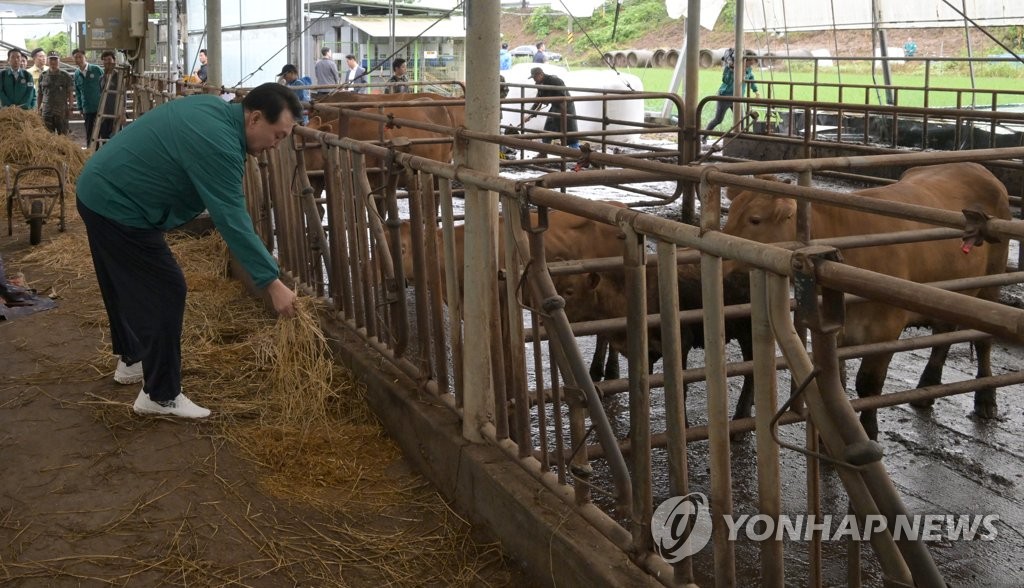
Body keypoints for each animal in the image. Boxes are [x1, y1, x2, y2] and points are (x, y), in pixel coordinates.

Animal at [720, 163, 1007, 440]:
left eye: (755, 219)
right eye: (731, 214)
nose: (724, 268)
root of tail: (978, 168)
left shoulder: (886, 330)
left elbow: (868, 384)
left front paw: (868, 430)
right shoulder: (834, 330)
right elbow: (837, 380)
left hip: (991, 285)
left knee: (983, 341)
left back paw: (986, 399)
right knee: (943, 334)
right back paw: (927, 387)